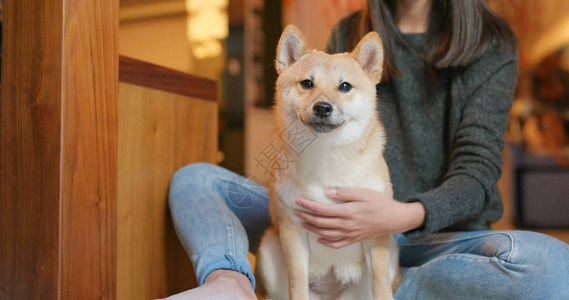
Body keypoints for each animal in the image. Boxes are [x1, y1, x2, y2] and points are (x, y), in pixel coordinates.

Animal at [258, 24, 400, 298]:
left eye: (344, 86)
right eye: (307, 83)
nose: (322, 107)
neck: (327, 156)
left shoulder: (375, 229)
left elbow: (380, 285)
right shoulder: (292, 229)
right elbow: (297, 282)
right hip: (269, 247)